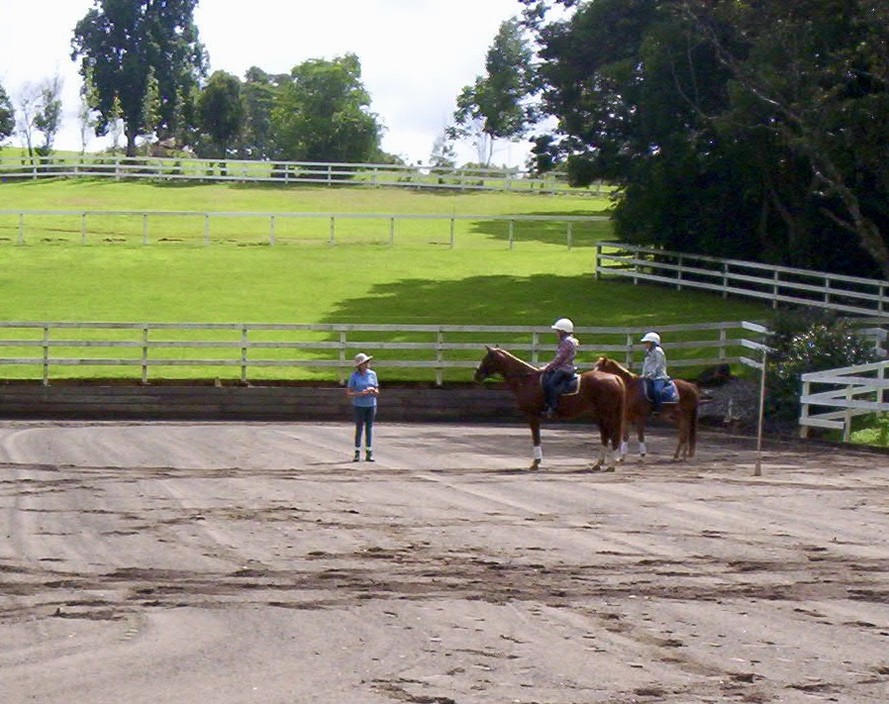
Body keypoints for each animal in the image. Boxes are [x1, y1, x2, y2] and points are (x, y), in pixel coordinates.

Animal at [472, 348, 624, 472]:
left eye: (487, 359)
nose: (477, 376)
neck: (527, 381)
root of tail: (615, 377)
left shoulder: (532, 416)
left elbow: (536, 438)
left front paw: (535, 463)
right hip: (600, 415)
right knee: (605, 436)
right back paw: (598, 464)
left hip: (608, 415)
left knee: (614, 436)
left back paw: (611, 465)